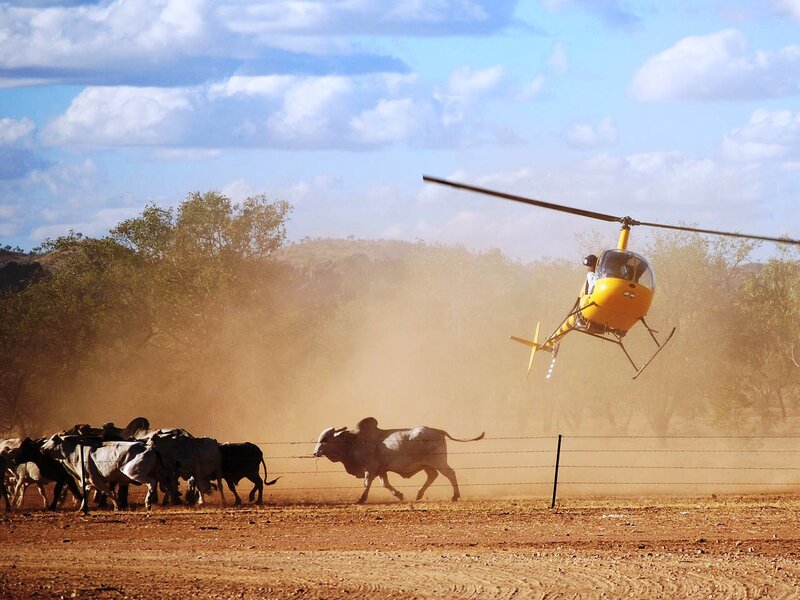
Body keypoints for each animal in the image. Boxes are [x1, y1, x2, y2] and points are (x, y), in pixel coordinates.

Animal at [313, 417, 484, 504]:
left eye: (326, 439)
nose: (315, 452)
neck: (354, 441)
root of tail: (437, 430)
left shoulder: (370, 468)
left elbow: (367, 483)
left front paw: (361, 499)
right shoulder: (381, 470)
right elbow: (385, 484)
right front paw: (400, 495)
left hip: (439, 462)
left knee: (450, 474)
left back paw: (455, 496)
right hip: (427, 465)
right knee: (432, 476)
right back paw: (419, 494)